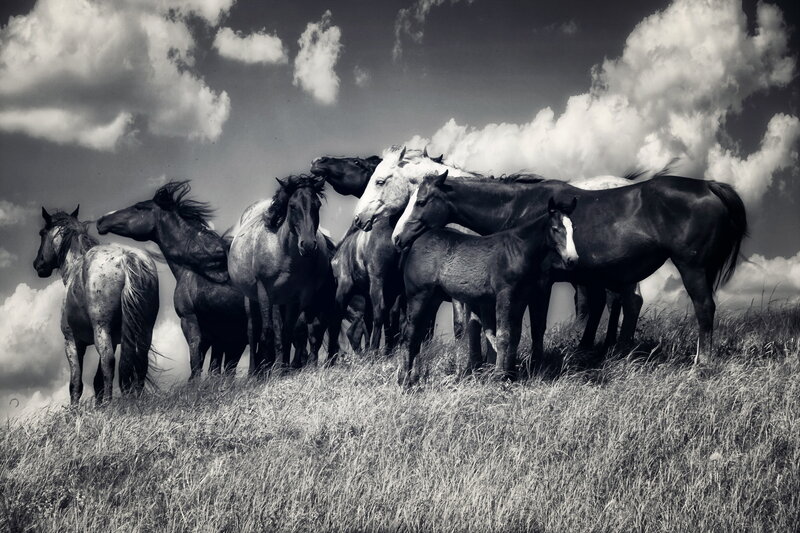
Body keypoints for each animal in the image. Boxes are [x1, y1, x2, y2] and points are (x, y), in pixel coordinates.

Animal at [34, 207, 159, 405]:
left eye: (42, 233)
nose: (38, 264)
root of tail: (126, 257)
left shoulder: (72, 342)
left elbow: (76, 384)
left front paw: (75, 410)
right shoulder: (114, 340)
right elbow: (97, 380)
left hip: (101, 329)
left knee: (109, 361)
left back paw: (109, 404)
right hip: (145, 329)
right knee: (140, 359)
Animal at [97, 181, 248, 379]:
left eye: (139, 207)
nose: (101, 221)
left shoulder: (190, 321)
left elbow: (196, 363)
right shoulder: (223, 335)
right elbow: (218, 368)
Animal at [228, 175, 339, 371]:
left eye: (317, 205)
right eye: (292, 206)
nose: (307, 245)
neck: (284, 253)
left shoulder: (295, 299)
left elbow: (288, 334)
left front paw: (281, 370)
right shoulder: (266, 293)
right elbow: (268, 333)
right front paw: (269, 370)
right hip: (252, 298)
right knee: (253, 330)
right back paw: (254, 370)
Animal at [393, 169, 748, 364]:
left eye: (421, 202)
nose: (397, 237)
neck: (522, 209)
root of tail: (709, 186)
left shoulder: (539, 283)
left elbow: (534, 325)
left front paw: (533, 363)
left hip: (692, 268)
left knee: (703, 308)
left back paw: (701, 363)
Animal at [396, 185, 579, 386]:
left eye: (573, 229)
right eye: (555, 229)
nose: (572, 259)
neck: (517, 250)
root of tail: (417, 241)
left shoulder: (521, 298)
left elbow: (515, 335)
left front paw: (510, 375)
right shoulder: (504, 295)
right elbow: (503, 335)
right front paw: (499, 377)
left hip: (433, 297)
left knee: (417, 334)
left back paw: (413, 378)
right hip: (418, 295)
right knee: (409, 334)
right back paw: (404, 380)